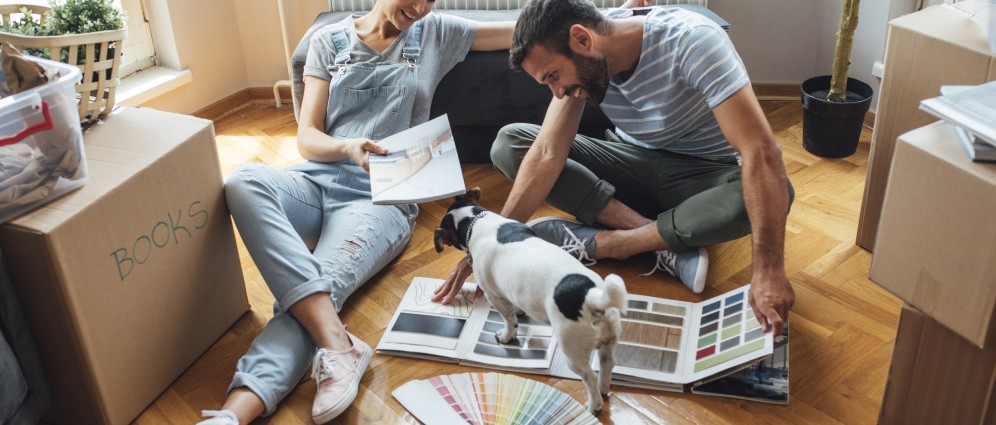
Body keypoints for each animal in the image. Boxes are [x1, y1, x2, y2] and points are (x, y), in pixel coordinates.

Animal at [434, 188, 628, 410]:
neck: (477, 221)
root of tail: (592, 297)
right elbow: (515, 307)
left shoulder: (494, 296)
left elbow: (509, 320)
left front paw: (506, 336)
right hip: (609, 339)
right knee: (607, 364)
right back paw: (604, 389)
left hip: (572, 349)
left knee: (589, 377)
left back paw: (593, 405)